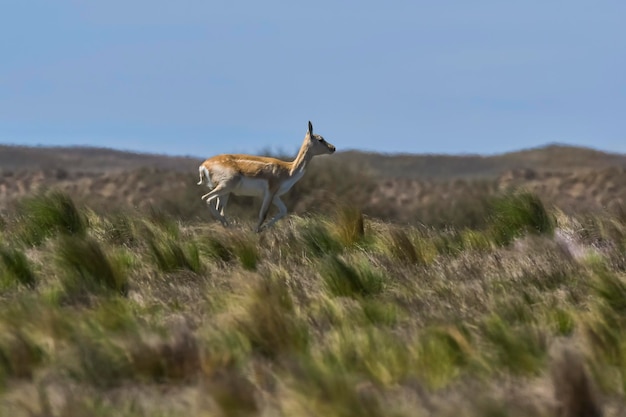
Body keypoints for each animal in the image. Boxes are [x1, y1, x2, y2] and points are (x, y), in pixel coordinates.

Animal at [200, 120, 336, 231]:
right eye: (320, 139)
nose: (333, 148)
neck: (289, 169)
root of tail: (204, 165)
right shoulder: (269, 193)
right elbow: (263, 214)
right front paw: (256, 232)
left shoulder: (276, 196)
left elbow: (283, 211)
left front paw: (262, 229)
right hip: (226, 187)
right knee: (206, 199)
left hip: (225, 193)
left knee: (220, 210)